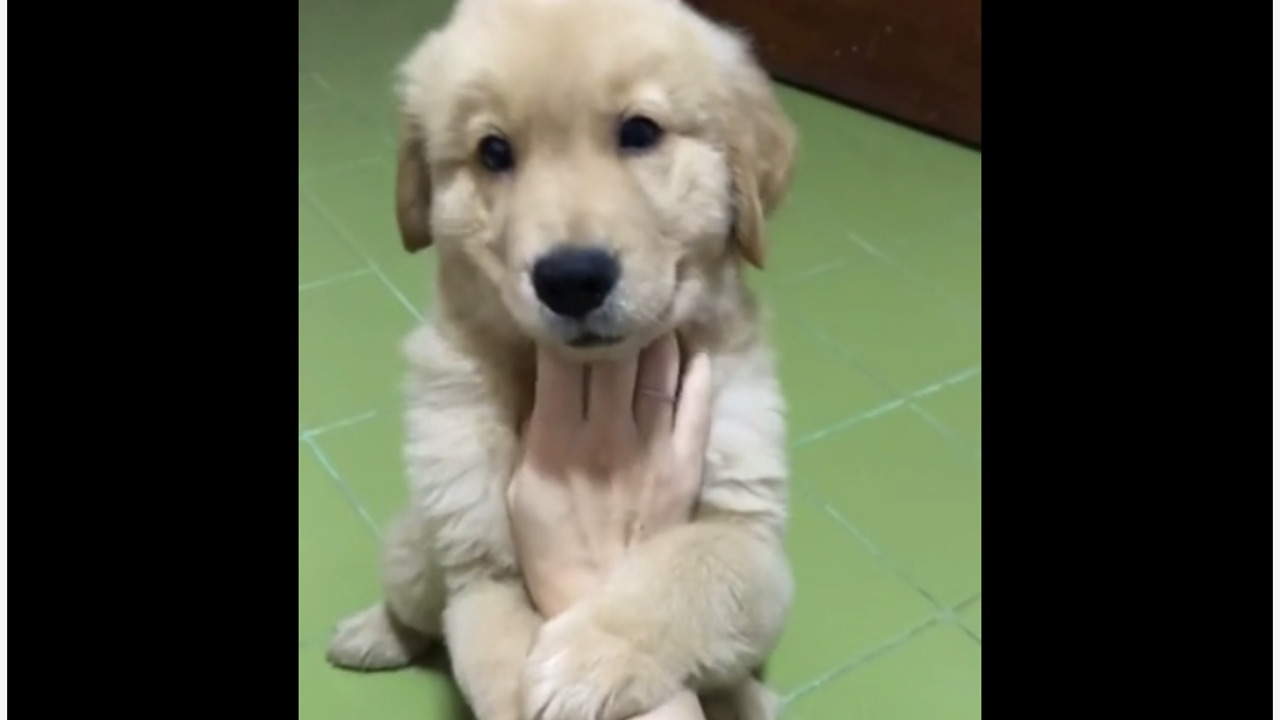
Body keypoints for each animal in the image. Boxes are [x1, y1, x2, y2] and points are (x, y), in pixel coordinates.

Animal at [325, 1, 793, 717]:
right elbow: (497, 661)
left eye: (639, 132)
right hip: (418, 549)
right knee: (414, 606)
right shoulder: (480, 565)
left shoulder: (749, 535)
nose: (572, 279)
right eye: (493, 151)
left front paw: (592, 655)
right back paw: (374, 635)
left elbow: (686, 577)